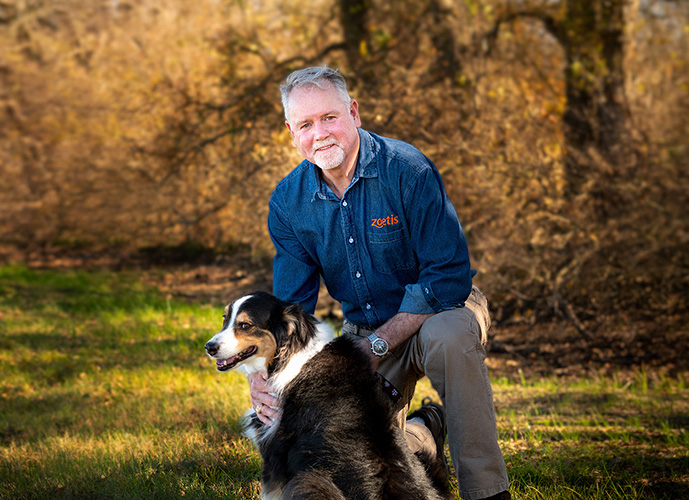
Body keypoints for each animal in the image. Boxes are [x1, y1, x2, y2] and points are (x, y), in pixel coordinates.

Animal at [204, 290, 452, 500]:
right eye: (225, 319)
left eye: (245, 325)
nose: (209, 347)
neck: (289, 354)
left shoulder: (275, 448)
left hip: (309, 481)